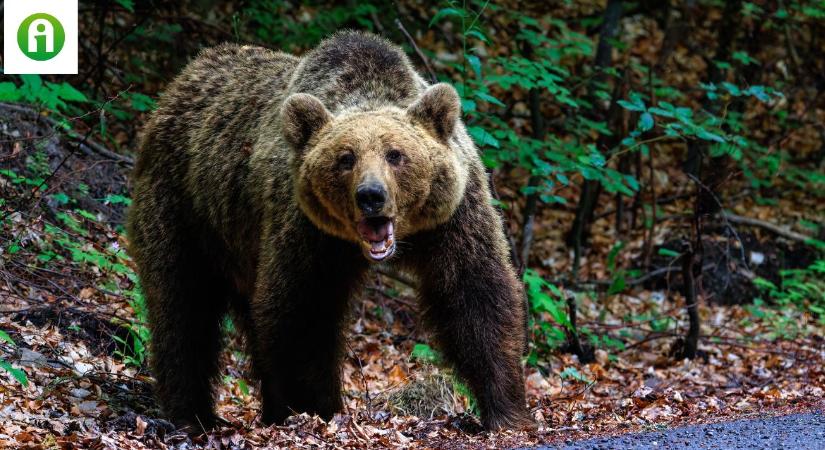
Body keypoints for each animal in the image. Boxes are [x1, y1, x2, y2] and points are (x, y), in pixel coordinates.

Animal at [126, 29, 532, 430]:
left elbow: (476, 293)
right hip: (185, 208)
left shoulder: (453, 217)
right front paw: (318, 407)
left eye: (396, 154)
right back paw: (192, 414)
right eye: (345, 158)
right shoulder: (308, 230)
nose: (371, 195)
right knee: (182, 304)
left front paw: (505, 409)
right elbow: (304, 311)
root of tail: (181, 81)